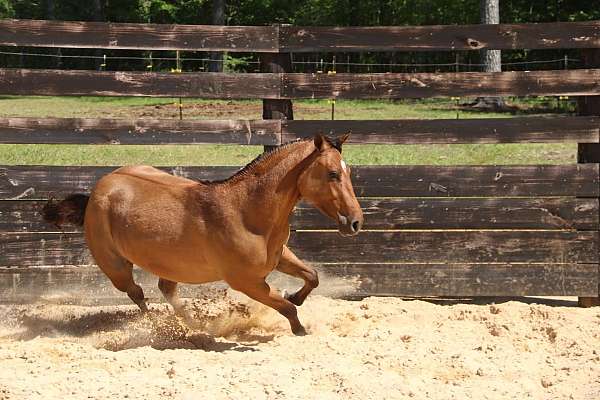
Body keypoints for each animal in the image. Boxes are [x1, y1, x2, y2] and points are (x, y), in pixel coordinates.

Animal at [43, 134, 360, 334]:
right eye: (332, 173)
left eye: (348, 172)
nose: (356, 222)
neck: (246, 212)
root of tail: (99, 189)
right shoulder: (248, 282)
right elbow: (287, 309)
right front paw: (300, 329)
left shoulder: (279, 257)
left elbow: (312, 277)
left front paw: (296, 296)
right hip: (115, 267)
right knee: (137, 294)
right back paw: (162, 327)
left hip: (169, 264)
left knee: (166, 290)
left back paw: (194, 326)